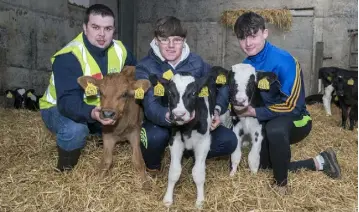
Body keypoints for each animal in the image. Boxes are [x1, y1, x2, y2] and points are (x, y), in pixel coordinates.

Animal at [148, 70, 221, 209]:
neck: (188, 128)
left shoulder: (204, 143)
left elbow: (198, 173)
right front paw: (168, 199)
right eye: (170, 92)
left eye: (193, 93)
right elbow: (174, 171)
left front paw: (200, 201)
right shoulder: (175, 140)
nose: (179, 115)